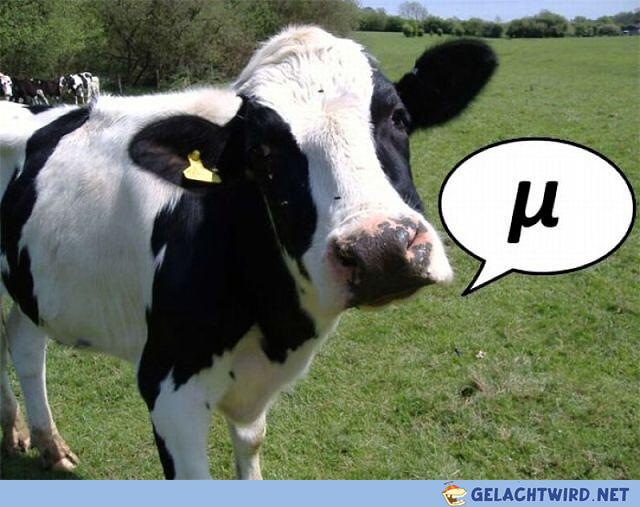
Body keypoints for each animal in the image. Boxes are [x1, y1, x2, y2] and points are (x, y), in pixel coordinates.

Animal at [0, 27, 496, 479]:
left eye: (399, 116)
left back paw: (47, 444)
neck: (276, 324)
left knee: (24, 343)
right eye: (261, 151)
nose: (380, 250)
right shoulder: (168, 386)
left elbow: (251, 442)